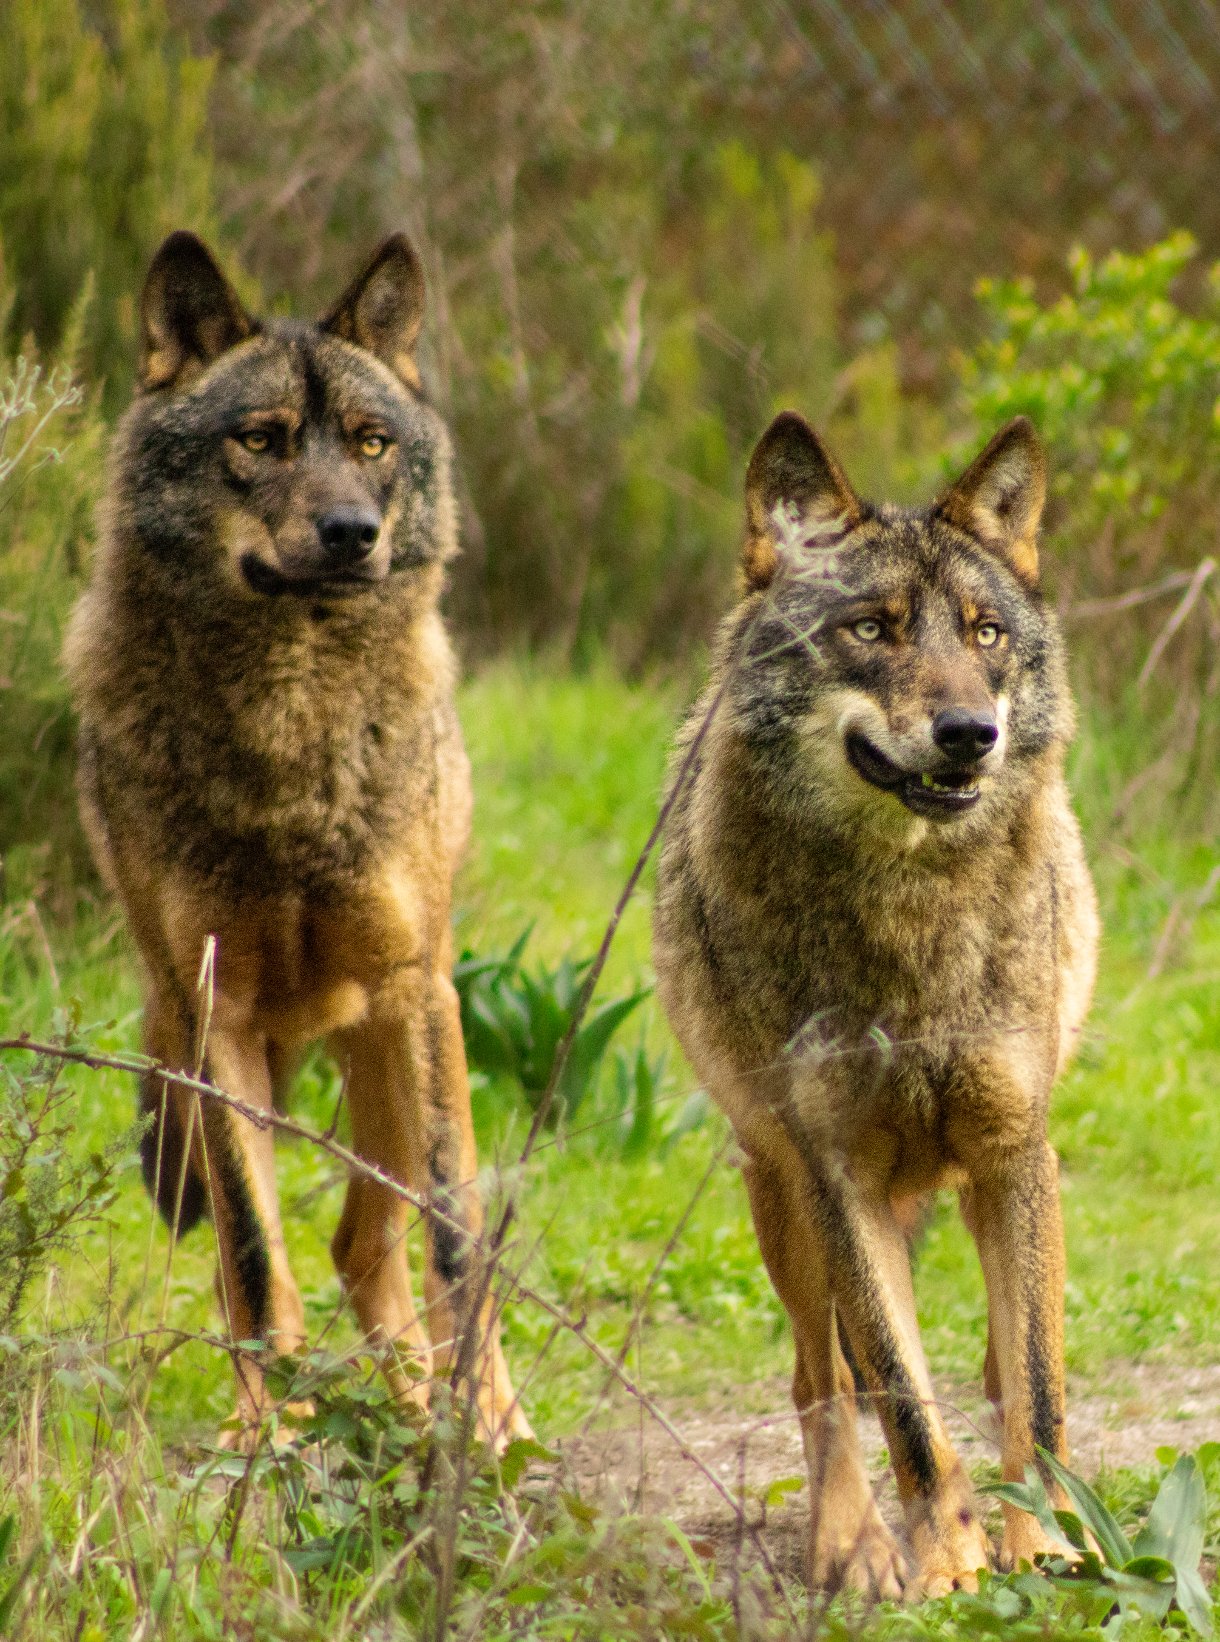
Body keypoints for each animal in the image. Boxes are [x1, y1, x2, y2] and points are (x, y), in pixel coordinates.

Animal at [66, 230, 529, 1447]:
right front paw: (272, 1438)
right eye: (260, 440)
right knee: (309, 1249)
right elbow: (248, 1256)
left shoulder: (417, 992)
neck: (292, 736)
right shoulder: (213, 1010)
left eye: (370, 443)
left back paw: (425, 1410)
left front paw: (484, 1427)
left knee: (369, 1242)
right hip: (210, 1053)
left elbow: (455, 1242)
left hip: (393, 1047)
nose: (351, 535)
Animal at [653, 412, 1098, 1597]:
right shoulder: (836, 1172)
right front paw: (944, 1558)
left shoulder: (1013, 1147)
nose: (969, 732)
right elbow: (900, 1400)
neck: (914, 919)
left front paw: (1046, 1544)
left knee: (1000, 1359)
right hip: (779, 1199)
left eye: (985, 635)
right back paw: (850, 1543)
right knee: (821, 1382)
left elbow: (1036, 1393)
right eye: (870, 628)